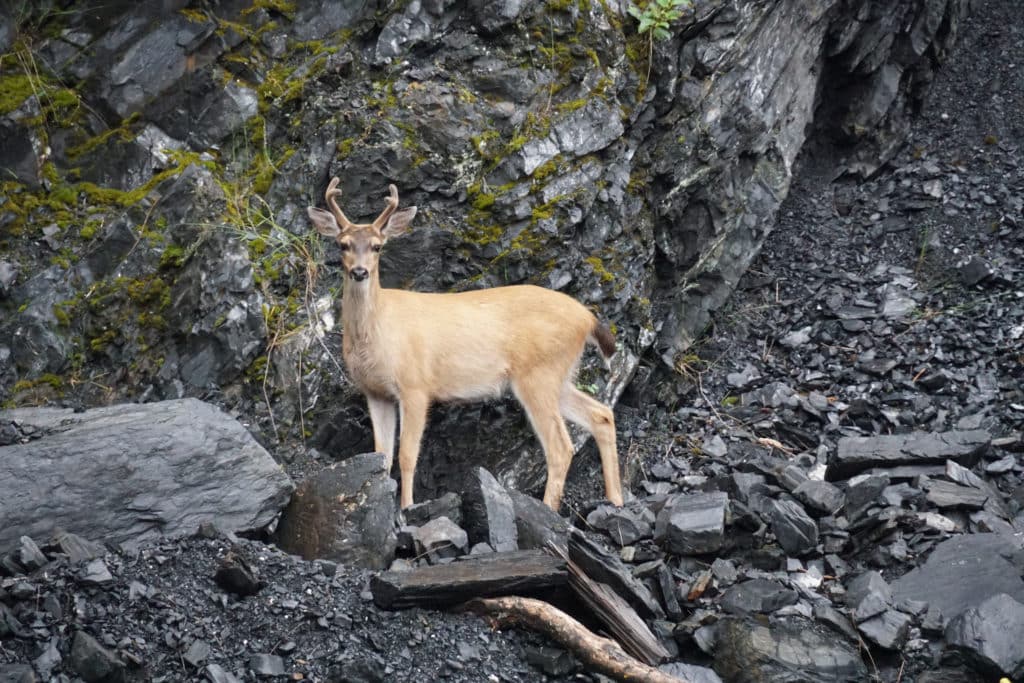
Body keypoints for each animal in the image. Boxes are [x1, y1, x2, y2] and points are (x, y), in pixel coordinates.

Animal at [305, 179, 622, 509]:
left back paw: (549, 508)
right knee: (601, 414)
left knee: (560, 446)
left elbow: (406, 455)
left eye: (377, 246)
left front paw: (406, 507)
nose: (359, 272)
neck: (378, 332)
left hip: (539, 373)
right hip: (559, 375)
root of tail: (586, 317)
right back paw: (616, 500)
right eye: (343, 244)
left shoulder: (415, 386)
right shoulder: (376, 392)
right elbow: (382, 455)